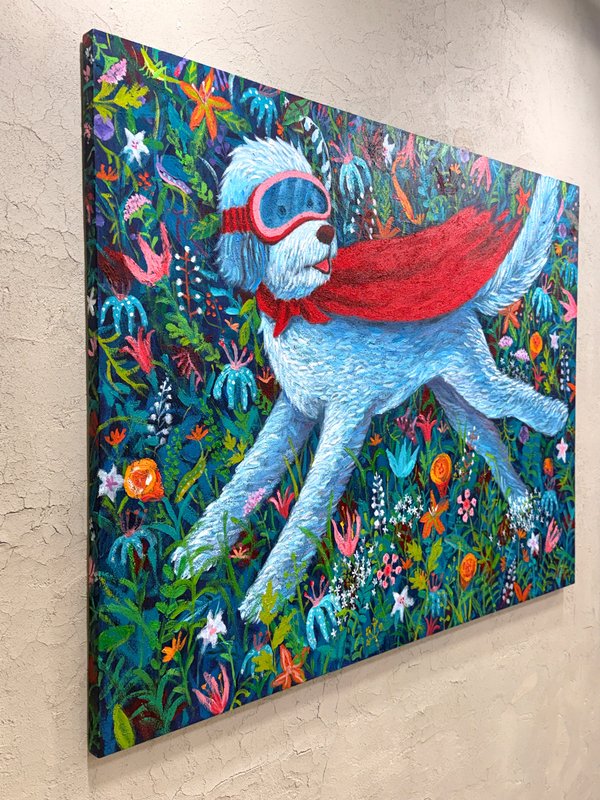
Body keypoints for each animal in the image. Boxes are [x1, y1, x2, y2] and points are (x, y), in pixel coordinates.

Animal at [172, 136, 566, 621]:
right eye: (280, 208)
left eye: (315, 203)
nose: (326, 233)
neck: (300, 308)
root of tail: (464, 302)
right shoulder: (295, 409)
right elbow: (249, 477)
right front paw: (197, 552)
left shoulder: (346, 412)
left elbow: (308, 508)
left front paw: (265, 598)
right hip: (452, 393)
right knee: (488, 438)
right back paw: (523, 506)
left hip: (475, 379)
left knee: (516, 403)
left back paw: (556, 423)